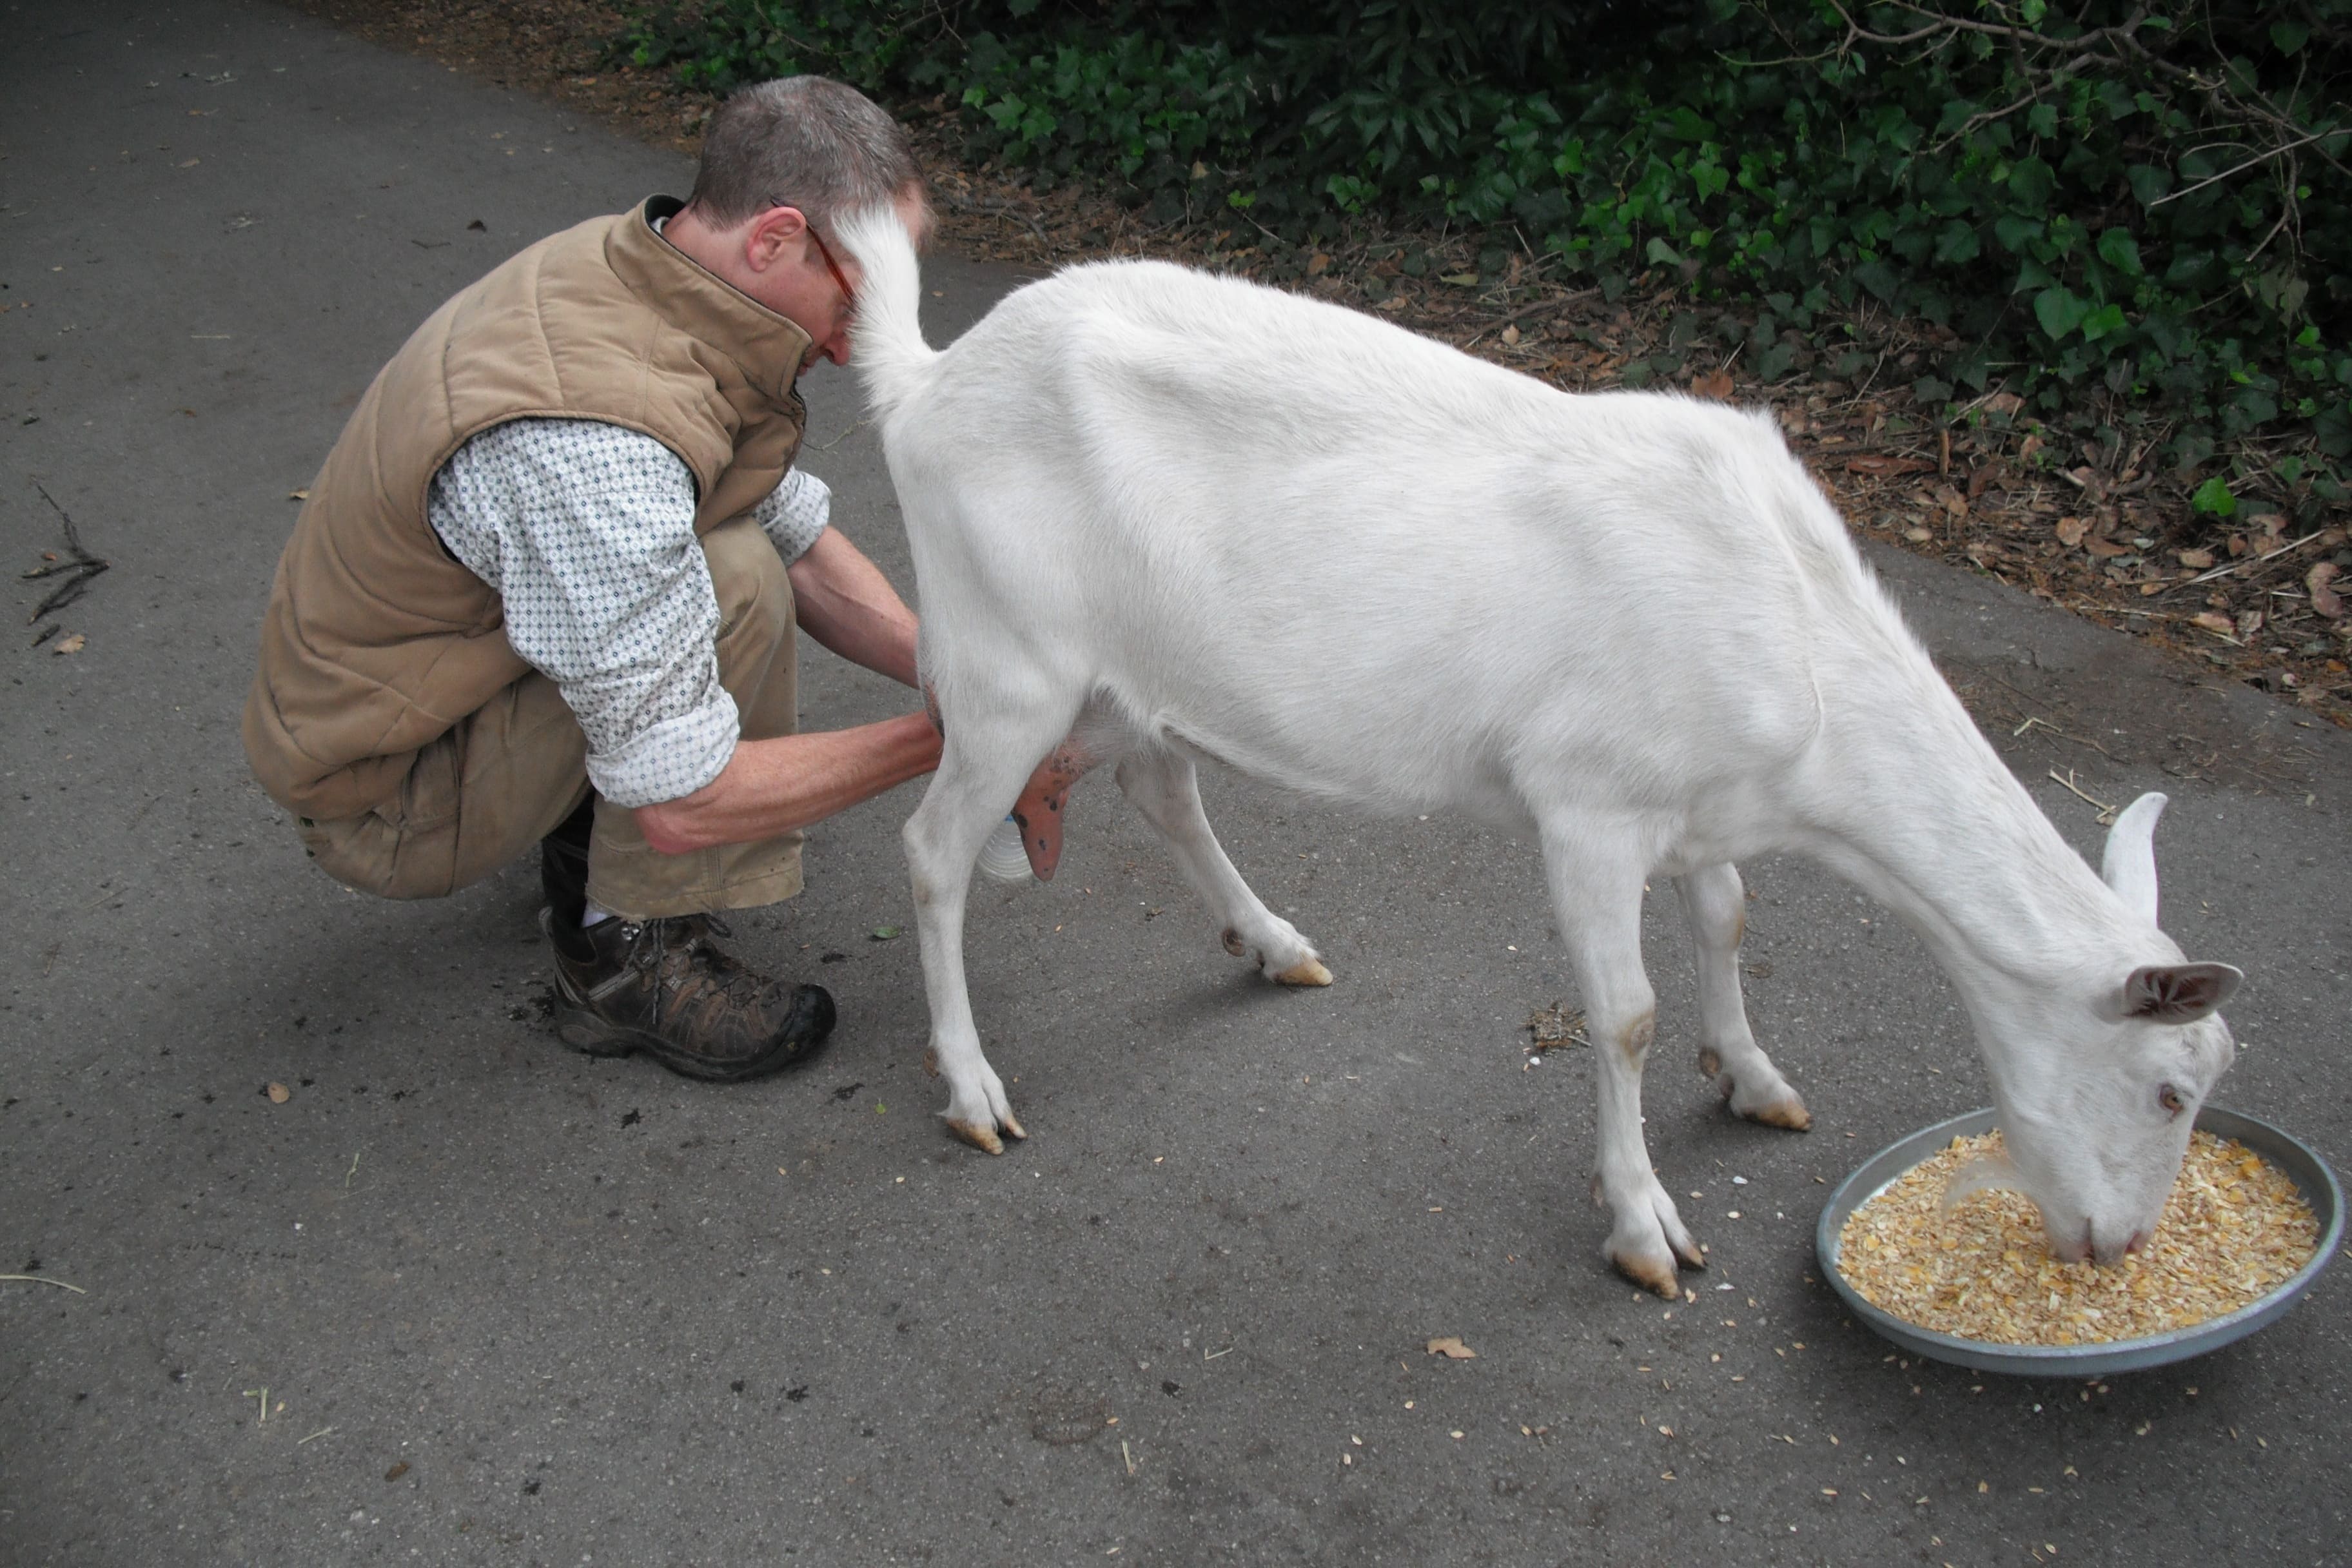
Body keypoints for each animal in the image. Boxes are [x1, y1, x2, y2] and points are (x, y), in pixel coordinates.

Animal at [841, 215, 2239, 1307]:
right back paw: (973, 1087)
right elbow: (1622, 1015)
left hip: (1130, 673)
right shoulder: (1589, 805)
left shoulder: (1700, 805)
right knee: (930, 849)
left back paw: (1272, 942)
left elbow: (1729, 919)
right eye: (2172, 1088)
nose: (2119, 1247)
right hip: (1009, 662)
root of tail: (924, 380)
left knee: (1156, 780)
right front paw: (1644, 1228)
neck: (1799, 649)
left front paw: (1753, 1077)